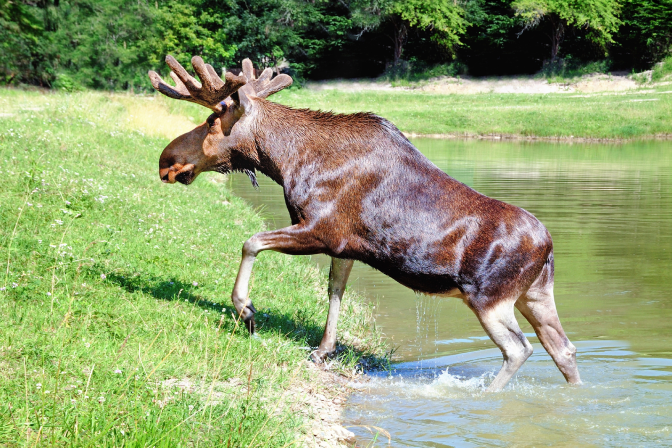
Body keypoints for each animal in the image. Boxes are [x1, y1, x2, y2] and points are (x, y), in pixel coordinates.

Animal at [148, 55, 581, 392]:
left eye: (211, 120)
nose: (166, 160)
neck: (284, 161)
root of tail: (549, 248)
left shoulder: (320, 229)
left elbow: (250, 241)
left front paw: (246, 310)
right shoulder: (345, 247)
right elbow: (335, 292)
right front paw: (323, 350)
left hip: (490, 298)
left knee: (519, 349)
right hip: (535, 295)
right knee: (563, 348)